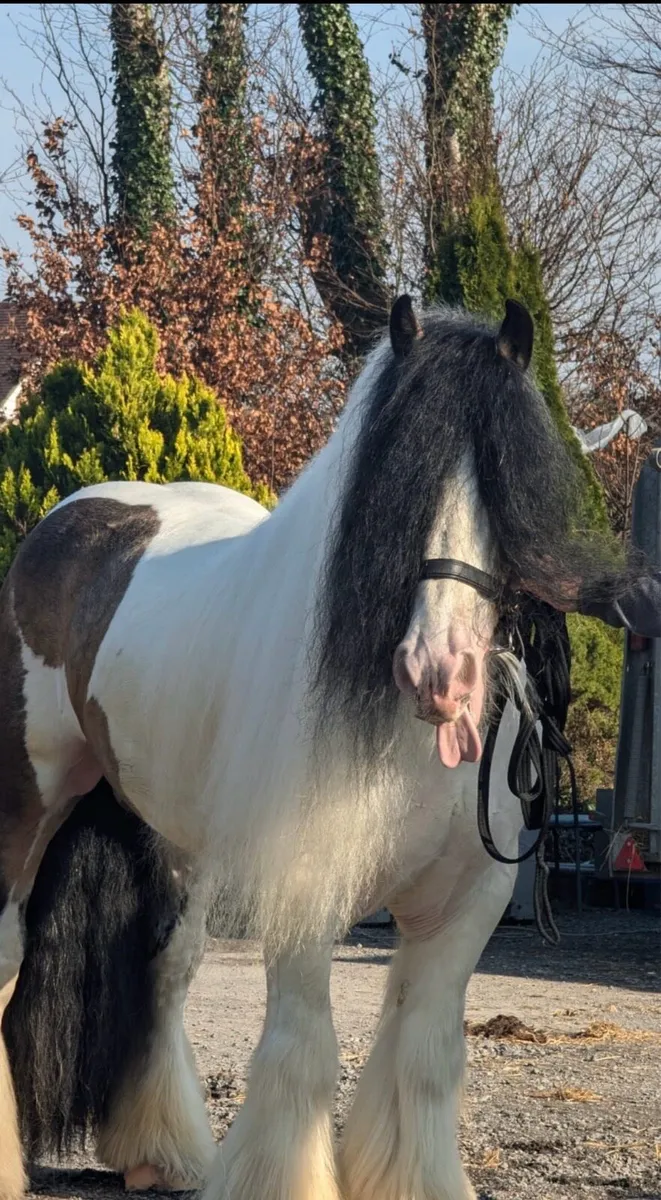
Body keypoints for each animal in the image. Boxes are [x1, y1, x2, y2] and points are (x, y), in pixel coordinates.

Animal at [0, 296, 635, 1200]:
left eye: (508, 481)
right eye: (392, 484)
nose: (439, 671)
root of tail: (72, 519)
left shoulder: (464, 905)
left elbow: (425, 1059)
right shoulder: (306, 888)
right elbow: (304, 1053)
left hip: (181, 843)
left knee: (167, 971)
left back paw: (162, 1154)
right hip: (31, 799)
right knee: (11, 952)